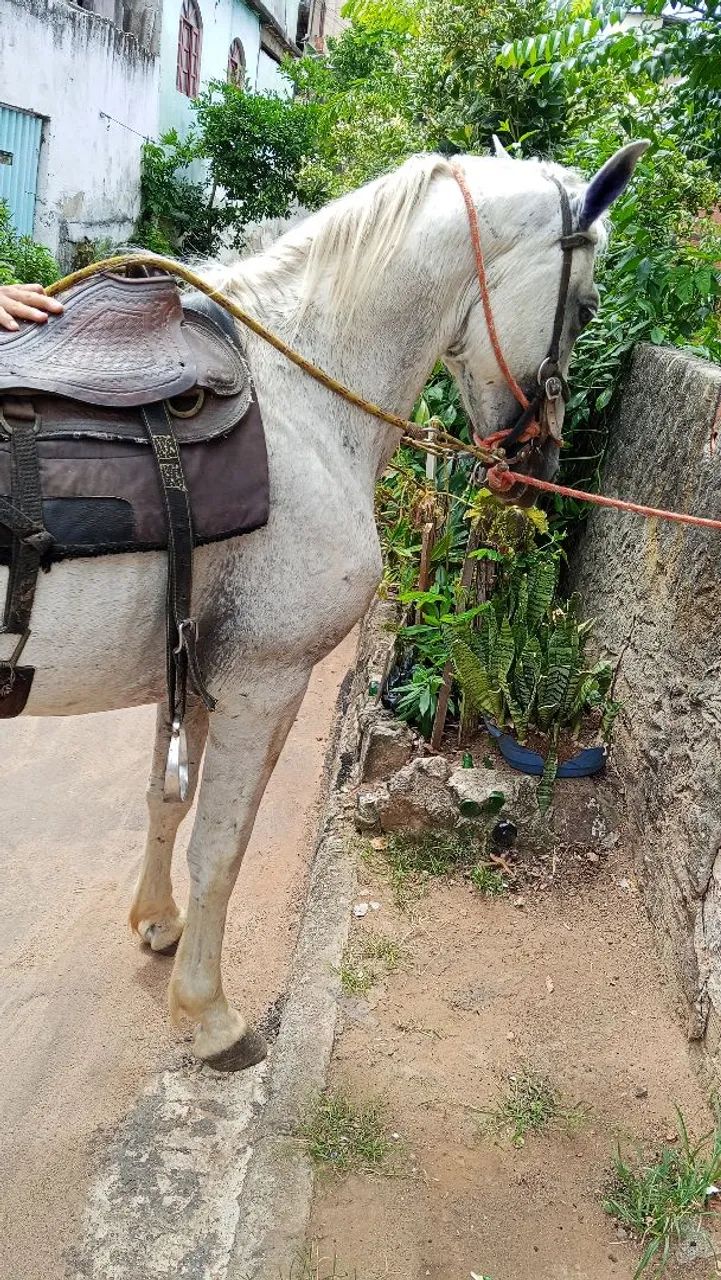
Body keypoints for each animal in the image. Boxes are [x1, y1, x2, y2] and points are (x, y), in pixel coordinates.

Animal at [0, 143, 647, 1069]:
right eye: (587, 306)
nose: (542, 465)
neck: (299, 396)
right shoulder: (264, 682)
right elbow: (220, 847)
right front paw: (209, 1017)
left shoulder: (195, 667)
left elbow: (168, 801)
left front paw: (157, 923)